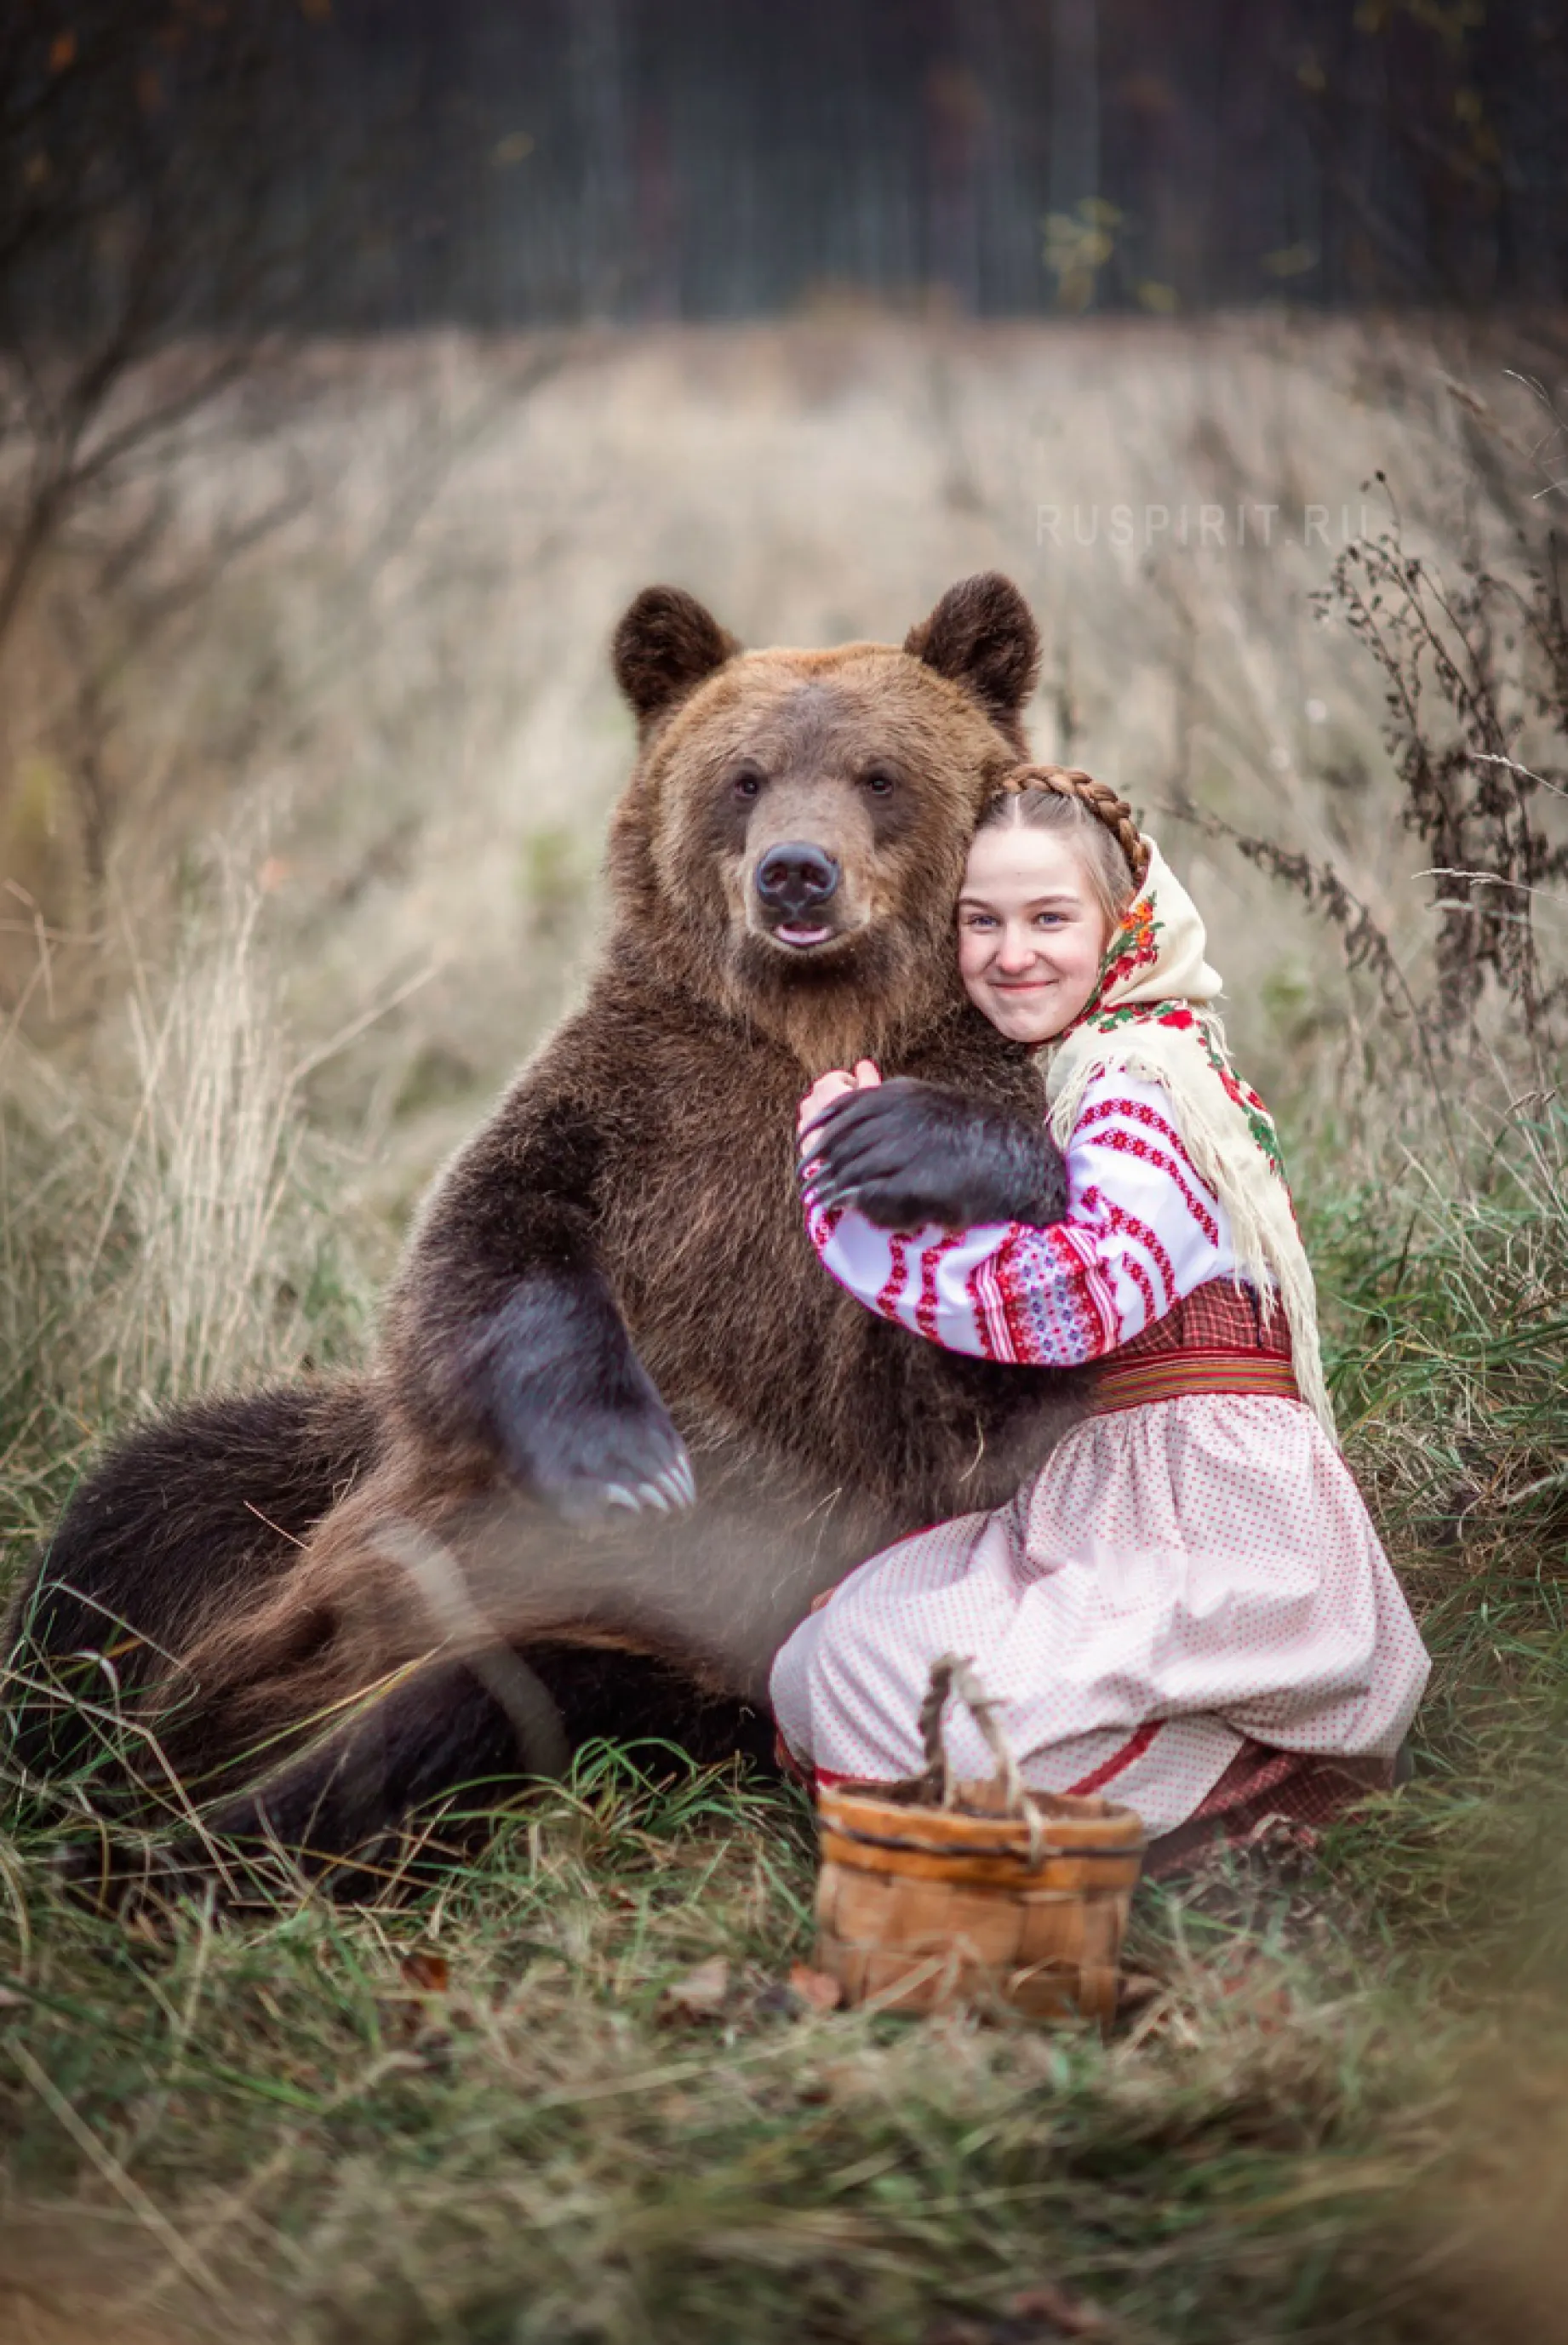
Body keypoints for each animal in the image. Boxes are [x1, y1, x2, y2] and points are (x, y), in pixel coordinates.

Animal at [9, 572, 1087, 1885]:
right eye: (743, 775)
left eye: (879, 773)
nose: (795, 872)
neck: (809, 1027)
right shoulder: (630, 1104)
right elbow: (488, 1255)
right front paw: (627, 1457)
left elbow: (972, 1404)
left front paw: (916, 1148)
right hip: (321, 1478)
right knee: (130, 1518)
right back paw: (71, 1757)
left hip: (653, 1658)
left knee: (436, 1725)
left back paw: (174, 1838)